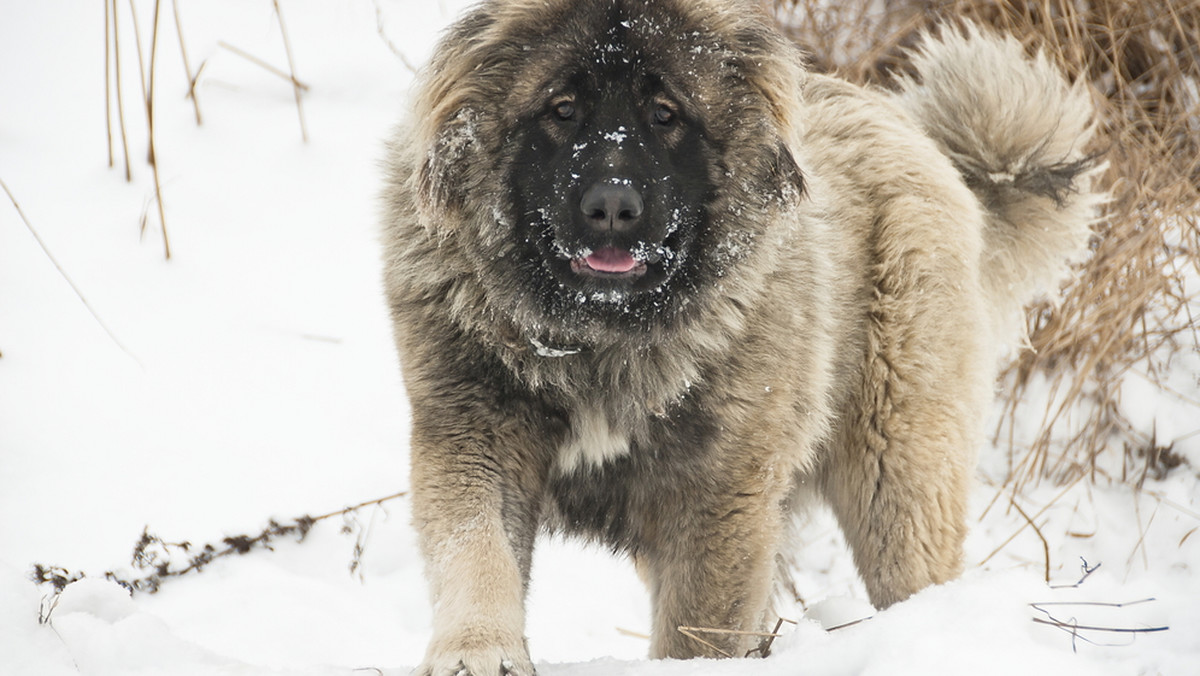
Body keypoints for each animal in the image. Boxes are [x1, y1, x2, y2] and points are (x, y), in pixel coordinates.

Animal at [384, 1, 1104, 672]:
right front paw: (478, 653)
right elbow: (478, 555)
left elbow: (696, 628)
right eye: (561, 109)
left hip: (896, 477)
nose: (612, 207)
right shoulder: (476, 436)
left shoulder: (719, 494)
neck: (600, 339)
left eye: (665, 115)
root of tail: (916, 134)